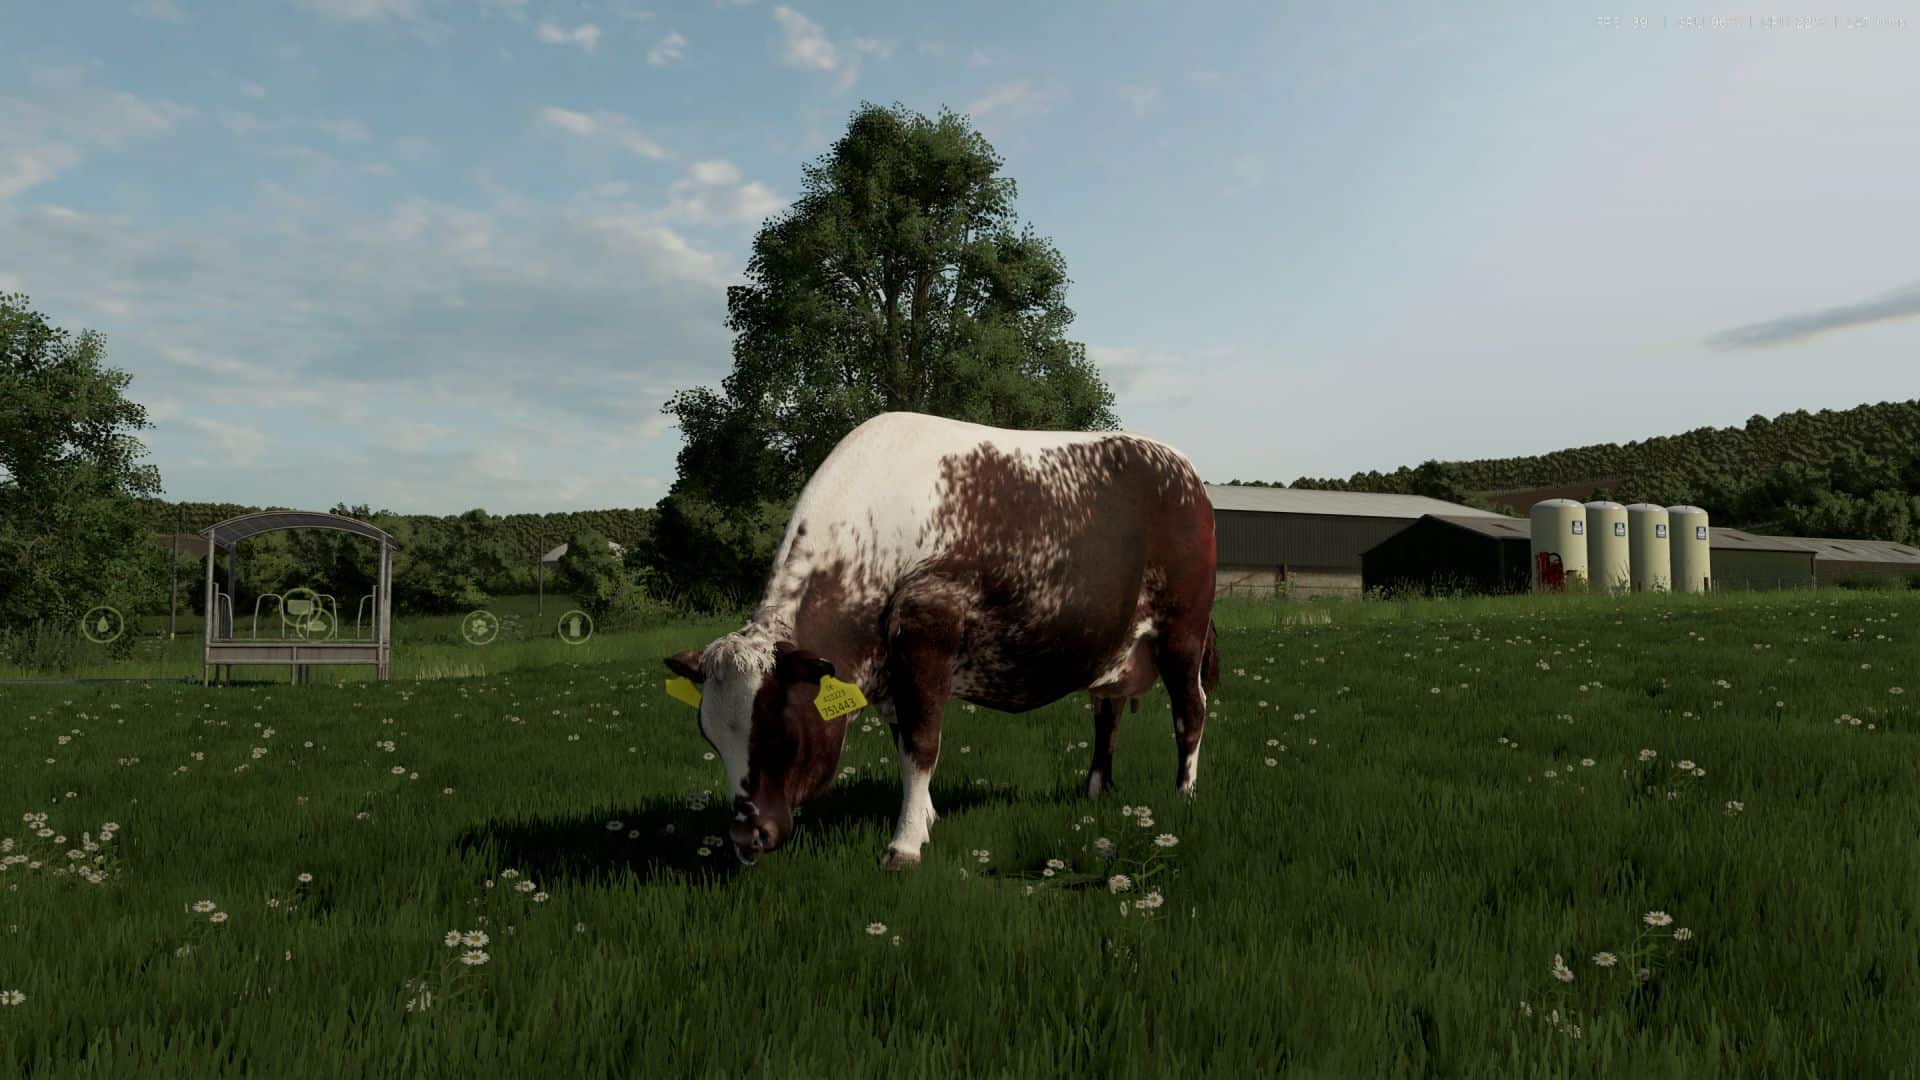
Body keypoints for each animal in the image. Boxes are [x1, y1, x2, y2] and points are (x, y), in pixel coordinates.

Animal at [663, 411, 1220, 869]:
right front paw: (926, 818)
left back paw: (1185, 795)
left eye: (780, 732)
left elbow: (922, 744)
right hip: (1113, 646)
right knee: (1106, 714)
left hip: (1183, 630)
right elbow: (904, 743)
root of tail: (1183, 469)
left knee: (1190, 710)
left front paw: (906, 842)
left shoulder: (927, 634)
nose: (746, 837)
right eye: (711, 737)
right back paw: (1096, 791)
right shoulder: (893, 672)